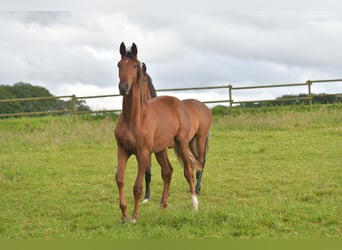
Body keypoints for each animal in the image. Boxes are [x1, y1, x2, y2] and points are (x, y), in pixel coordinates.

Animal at [113, 42, 202, 222]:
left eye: (134, 65)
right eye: (119, 65)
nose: (123, 88)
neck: (133, 118)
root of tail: (179, 104)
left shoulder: (143, 153)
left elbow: (138, 186)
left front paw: (135, 217)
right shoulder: (123, 150)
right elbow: (120, 179)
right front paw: (124, 215)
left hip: (182, 143)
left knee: (188, 171)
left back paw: (194, 204)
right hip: (161, 149)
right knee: (168, 172)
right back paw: (162, 206)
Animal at [141, 63, 212, 203]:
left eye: (144, 80)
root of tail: (204, 106)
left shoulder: (163, 149)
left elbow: (165, 170)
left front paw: (166, 195)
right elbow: (147, 172)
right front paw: (146, 197)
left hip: (200, 138)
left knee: (201, 161)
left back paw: (196, 189)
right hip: (190, 142)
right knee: (197, 161)